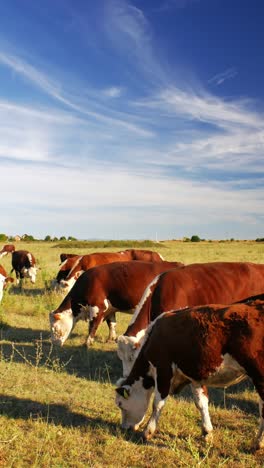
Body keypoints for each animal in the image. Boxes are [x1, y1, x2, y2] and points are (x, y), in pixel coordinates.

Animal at [50, 260, 184, 348]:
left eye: (55, 328)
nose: (54, 344)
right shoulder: (110, 309)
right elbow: (112, 324)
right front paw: (111, 339)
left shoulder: (97, 307)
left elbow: (93, 326)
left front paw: (87, 343)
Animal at [115, 298, 264, 452]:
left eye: (120, 404)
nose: (124, 428)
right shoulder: (195, 376)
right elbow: (201, 403)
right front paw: (207, 432)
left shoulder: (163, 370)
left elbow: (157, 404)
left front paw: (147, 432)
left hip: (259, 375)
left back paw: (258, 443)